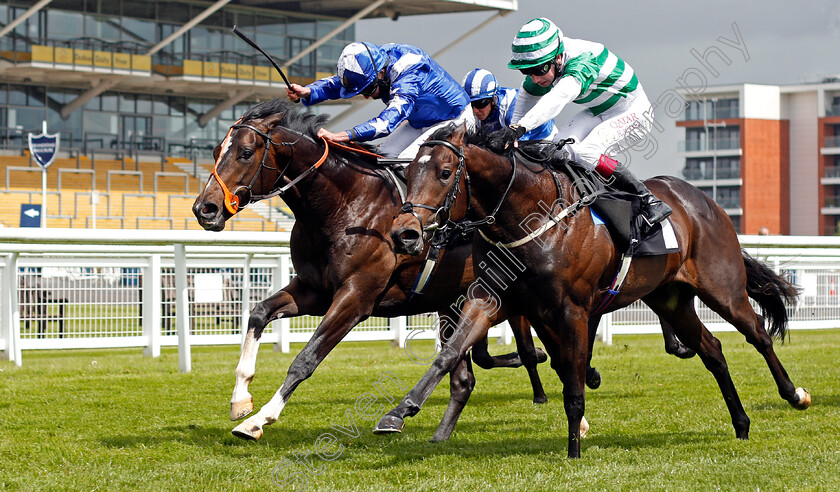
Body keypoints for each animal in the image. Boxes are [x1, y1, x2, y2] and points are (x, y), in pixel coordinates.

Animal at [192, 99, 552, 442]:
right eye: (215, 151)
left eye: (245, 153)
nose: (204, 209)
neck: (344, 205)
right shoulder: (314, 291)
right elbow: (258, 313)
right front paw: (240, 400)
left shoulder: (356, 297)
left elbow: (305, 359)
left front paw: (258, 421)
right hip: (452, 303)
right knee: (469, 372)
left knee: (519, 349)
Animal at [378, 123, 812, 458]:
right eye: (409, 173)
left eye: (444, 172)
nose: (404, 234)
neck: (529, 217)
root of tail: (705, 200)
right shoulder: (491, 298)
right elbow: (450, 354)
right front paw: (399, 412)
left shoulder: (573, 310)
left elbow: (572, 383)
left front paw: (573, 449)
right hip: (671, 299)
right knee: (713, 350)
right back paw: (741, 423)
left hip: (723, 288)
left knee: (758, 334)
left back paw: (794, 394)